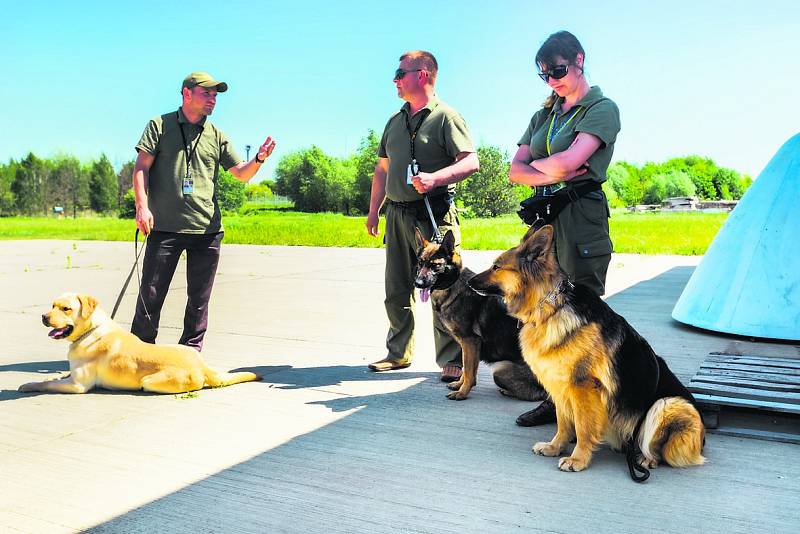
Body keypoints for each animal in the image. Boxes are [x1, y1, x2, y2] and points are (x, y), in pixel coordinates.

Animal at [416, 228, 548, 404]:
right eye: (420, 263)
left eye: (435, 265)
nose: (417, 283)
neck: (453, 286)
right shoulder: (467, 345)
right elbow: (467, 369)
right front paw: (459, 385)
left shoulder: (470, 341)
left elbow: (469, 371)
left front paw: (462, 393)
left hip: (500, 369)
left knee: (538, 394)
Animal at [472, 224, 704, 476]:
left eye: (496, 267)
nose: (468, 281)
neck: (550, 308)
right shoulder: (559, 386)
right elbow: (563, 423)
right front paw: (555, 447)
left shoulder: (583, 388)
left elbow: (583, 428)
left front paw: (578, 459)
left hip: (668, 404)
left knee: (658, 448)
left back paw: (645, 459)